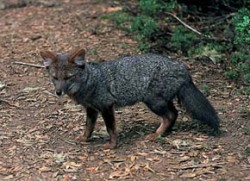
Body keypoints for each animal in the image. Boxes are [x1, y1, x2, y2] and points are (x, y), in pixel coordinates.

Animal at [40, 48, 220, 148]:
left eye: (68, 78)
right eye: (55, 78)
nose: (58, 92)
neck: (92, 80)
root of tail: (182, 67)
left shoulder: (106, 106)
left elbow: (110, 129)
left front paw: (112, 145)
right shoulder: (91, 109)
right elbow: (88, 127)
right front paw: (84, 139)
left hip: (153, 102)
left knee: (170, 115)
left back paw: (157, 134)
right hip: (160, 101)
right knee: (174, 114)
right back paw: (164, 133)